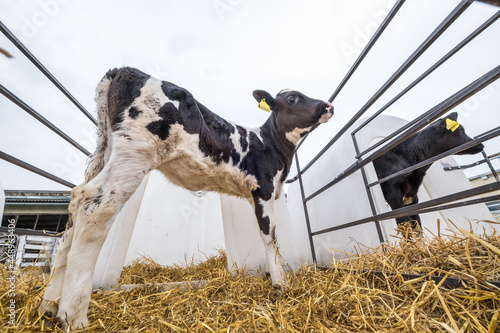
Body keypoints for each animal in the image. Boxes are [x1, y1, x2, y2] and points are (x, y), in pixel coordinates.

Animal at [41, 66, 334, 328]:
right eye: (292, 98)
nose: (328, 105)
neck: (270, 145)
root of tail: (122, 70)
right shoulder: (263, 189)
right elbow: (269, 235)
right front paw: (280, 283)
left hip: (106, 150)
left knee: (76, 201)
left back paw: (49, 304)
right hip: (134, 155)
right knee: (96, 205)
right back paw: (73, 314)